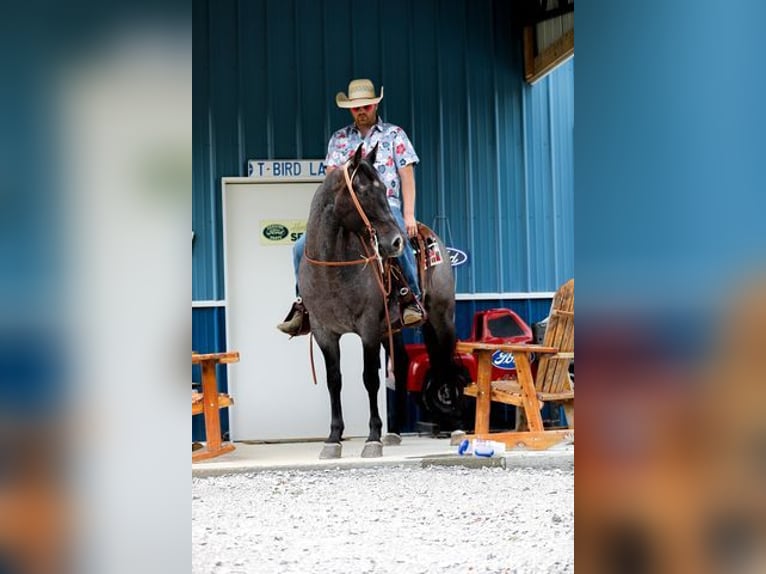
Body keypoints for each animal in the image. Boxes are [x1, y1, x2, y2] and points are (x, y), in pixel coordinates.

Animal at [302, 146, 464, 462]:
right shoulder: (324, 331)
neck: (332, 267)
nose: (397, 242)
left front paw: (373, 437)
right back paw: (395, 432)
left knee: (447, 360)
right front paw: (333, 439)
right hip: (395, 327)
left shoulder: (367, 327)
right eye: (362, 191)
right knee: (401, 364)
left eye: (384, 189)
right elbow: (334, 380)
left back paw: (456, 428)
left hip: (442, 316)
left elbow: (370, 378)